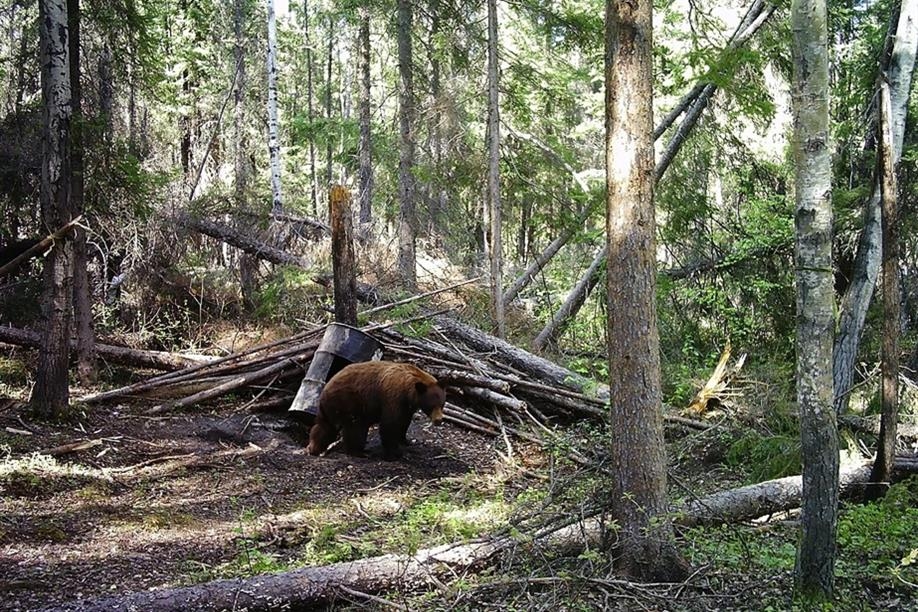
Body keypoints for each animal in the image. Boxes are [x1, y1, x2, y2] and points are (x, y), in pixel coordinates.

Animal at [306, 361, 446, 460]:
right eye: (431, 405)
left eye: (442, 404)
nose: (439, 420)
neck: (408, 391)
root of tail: (325, 389)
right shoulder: (393, 398)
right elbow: (390, 424)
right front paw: (395, 452)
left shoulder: (406, 406)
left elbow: (404, 422)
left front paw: (406, 441)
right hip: (349, 402)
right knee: (355, 428)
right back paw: (358, 452)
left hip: (330, 409)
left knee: (324, 427)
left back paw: (314, 448)